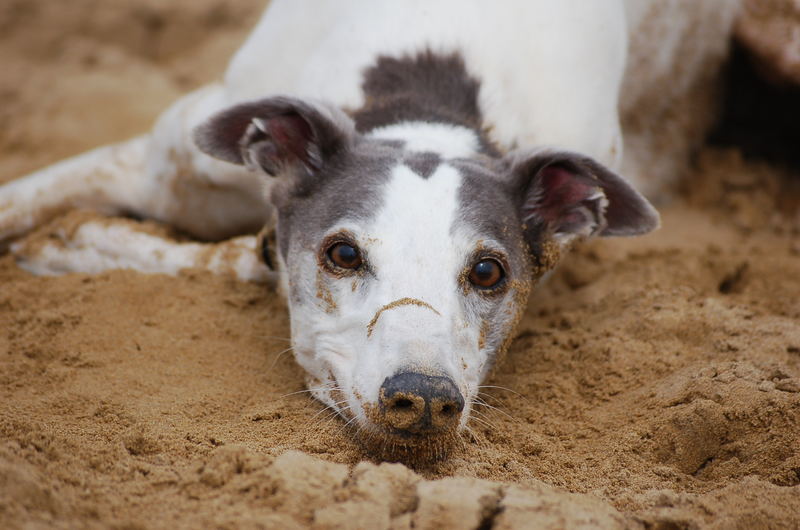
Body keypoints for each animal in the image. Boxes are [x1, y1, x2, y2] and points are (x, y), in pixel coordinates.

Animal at [0, 1, 736, 458]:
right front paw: (64, 242)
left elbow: (245, 258)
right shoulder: (159, 165)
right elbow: (27, 198)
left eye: (488, 271)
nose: (424, 401)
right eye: (344, 254)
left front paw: (70, 246)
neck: (427, 98)